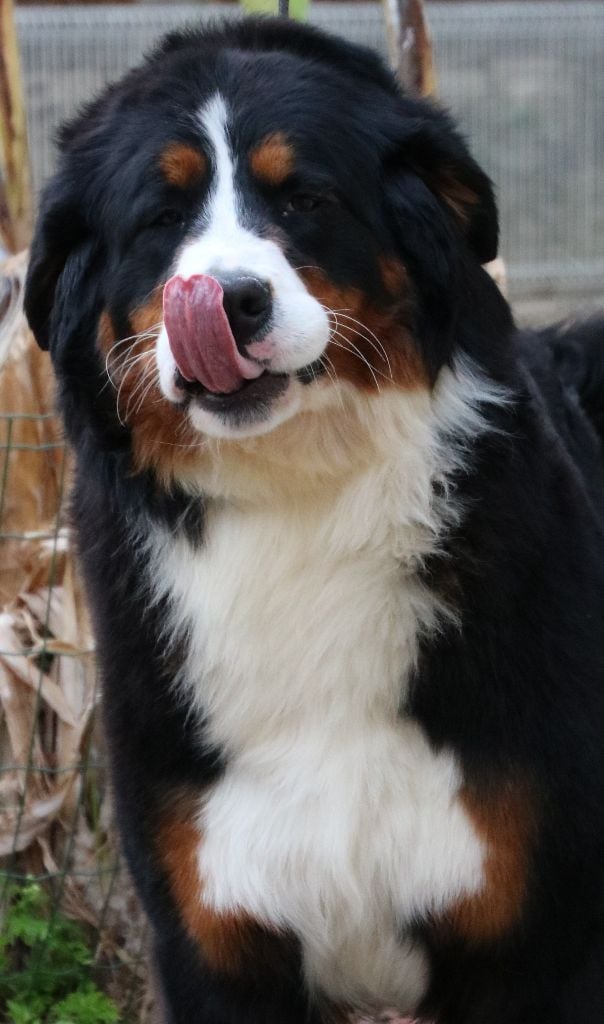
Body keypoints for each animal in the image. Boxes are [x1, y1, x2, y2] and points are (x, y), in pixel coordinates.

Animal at [21, 16, 604, 1024]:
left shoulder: (536, 942)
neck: (298, 507)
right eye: (160, 218)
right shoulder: (214, 944)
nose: (232, 300)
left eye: (304, 199)